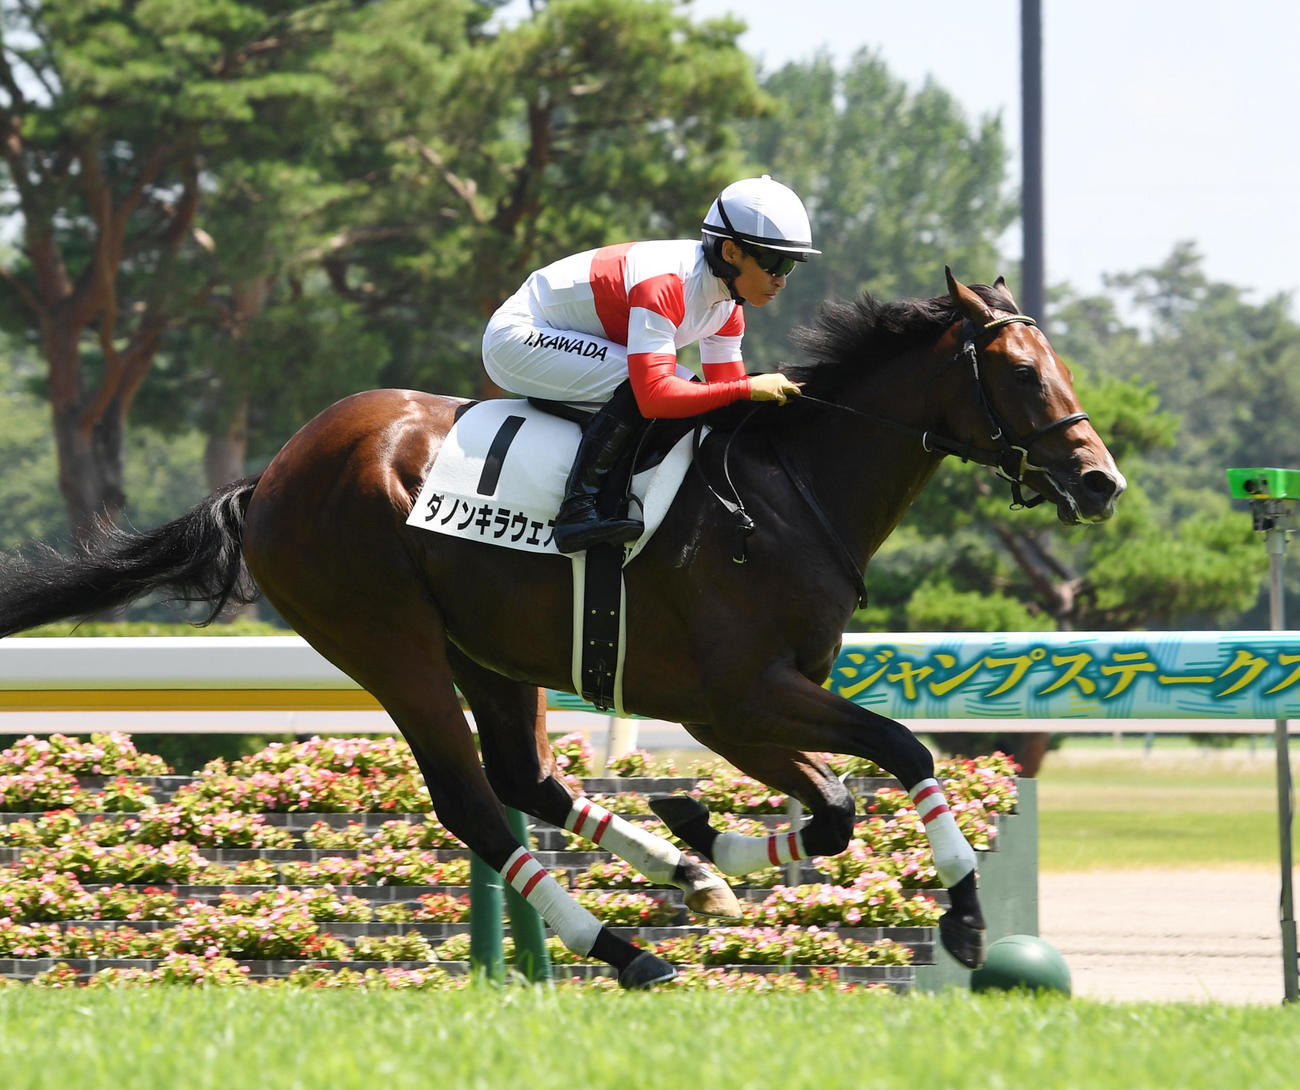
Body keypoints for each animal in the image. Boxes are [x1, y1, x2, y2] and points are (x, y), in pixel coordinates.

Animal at [0, 270, 1124, 987]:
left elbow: (840, 803)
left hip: (489, 650)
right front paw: (966, 919)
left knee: (525, 775)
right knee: (474, 804)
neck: (784, 493)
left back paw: (682, 877)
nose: (1100, 482)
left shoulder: (737, 707)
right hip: (389, 644)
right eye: (1023, 374)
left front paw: (703, 832)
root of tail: (268, 475)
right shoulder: (737, 692)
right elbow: (898, 751)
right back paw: (627, 951)